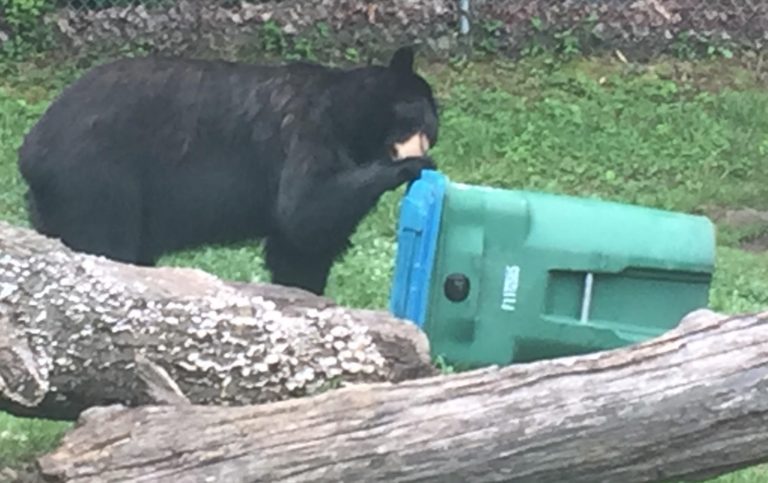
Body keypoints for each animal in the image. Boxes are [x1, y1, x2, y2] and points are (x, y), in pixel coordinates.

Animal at [18, 46, 438, 294]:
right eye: (423, 110)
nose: (432, 135)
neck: (347, 114)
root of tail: (30, 148)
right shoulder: (307, 130)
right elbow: (305, 207)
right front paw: (411, 166)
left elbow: (299, 244)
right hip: (96, 178)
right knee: (107, 243)